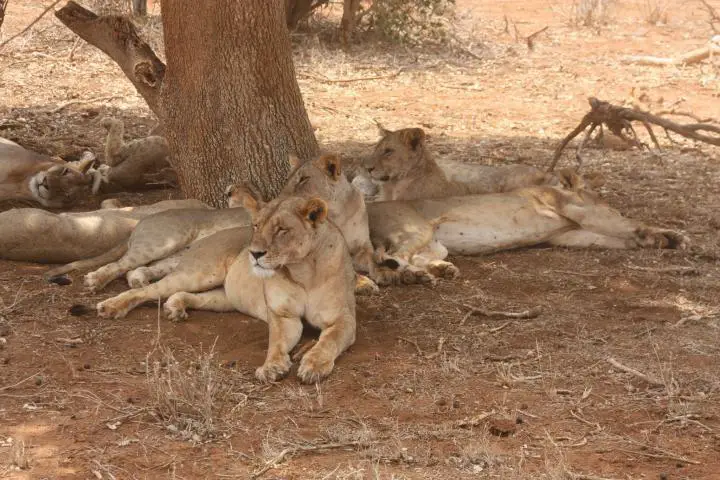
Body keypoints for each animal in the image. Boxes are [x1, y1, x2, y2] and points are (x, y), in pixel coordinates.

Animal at [167, 193, 358, 384]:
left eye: (281, 229)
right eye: (256, 226)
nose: (254, 253)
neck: (302, 272)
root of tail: (206, 238)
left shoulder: (343, 318)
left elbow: (329, 341)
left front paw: (314, 365)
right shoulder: (283, 315)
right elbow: (276, 342)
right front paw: (271, 367)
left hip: (224, 300)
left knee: (196, 297)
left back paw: (175, 306)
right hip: (198, 275)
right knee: (160, 286)